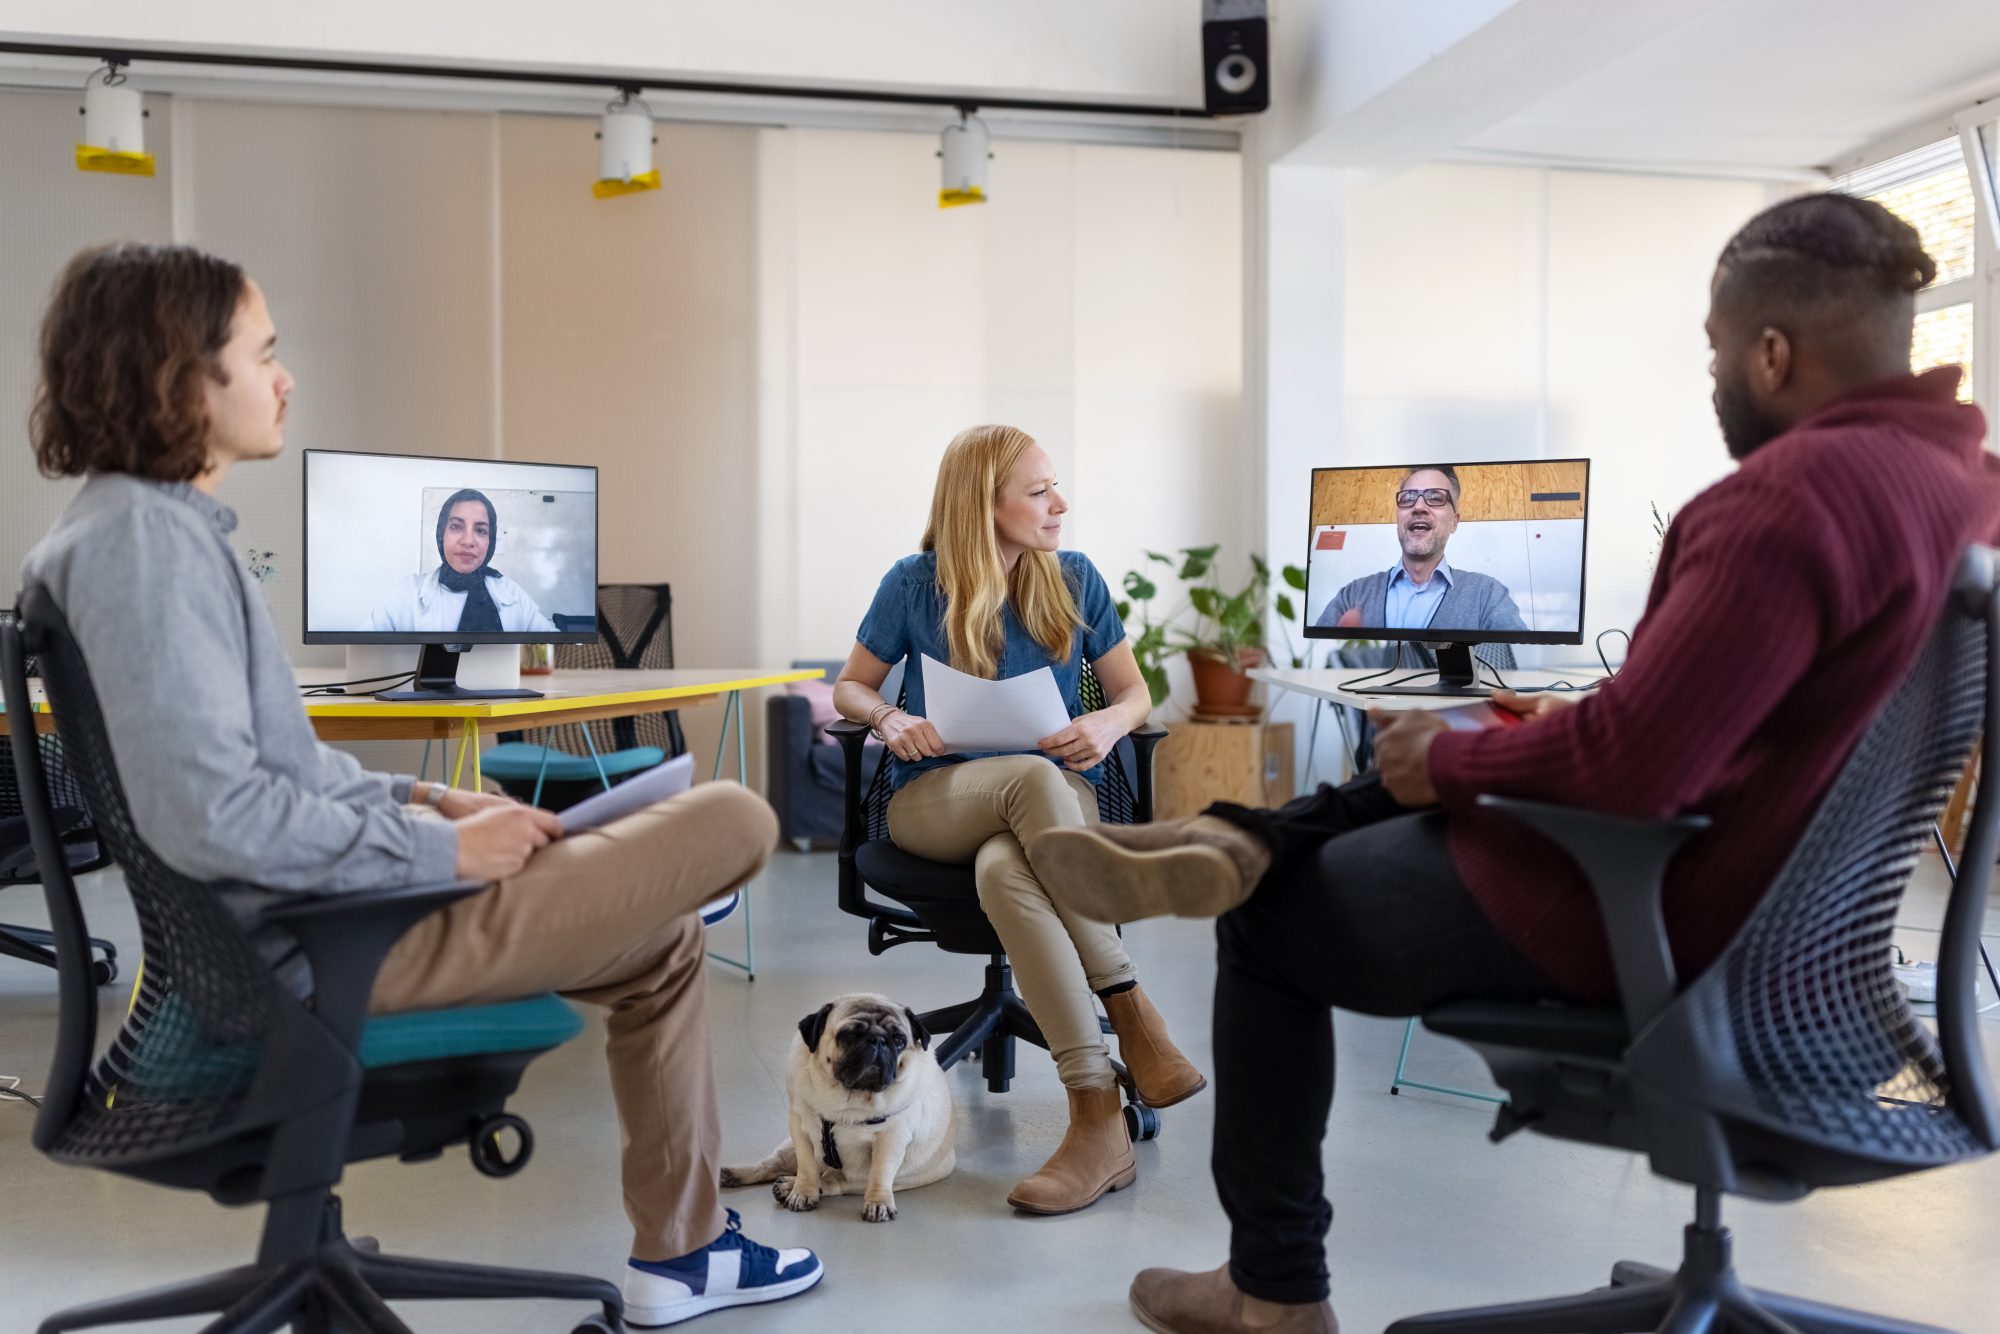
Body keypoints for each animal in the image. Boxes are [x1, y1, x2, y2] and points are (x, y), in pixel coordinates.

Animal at [724, 992, 956, 1224]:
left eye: (899, 1041)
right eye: (849, 1035)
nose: (878, 1040)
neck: (849, 1098)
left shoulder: (891, 1138)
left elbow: (880, 1174)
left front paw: (878, 1203)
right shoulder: (799, 1127)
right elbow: (806, 1167)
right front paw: (802, 1192)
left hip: (858, 1180)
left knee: (830, 1181)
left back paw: (787, 1185)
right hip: (788, 1147)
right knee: (773, 1165)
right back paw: (736, 1175)